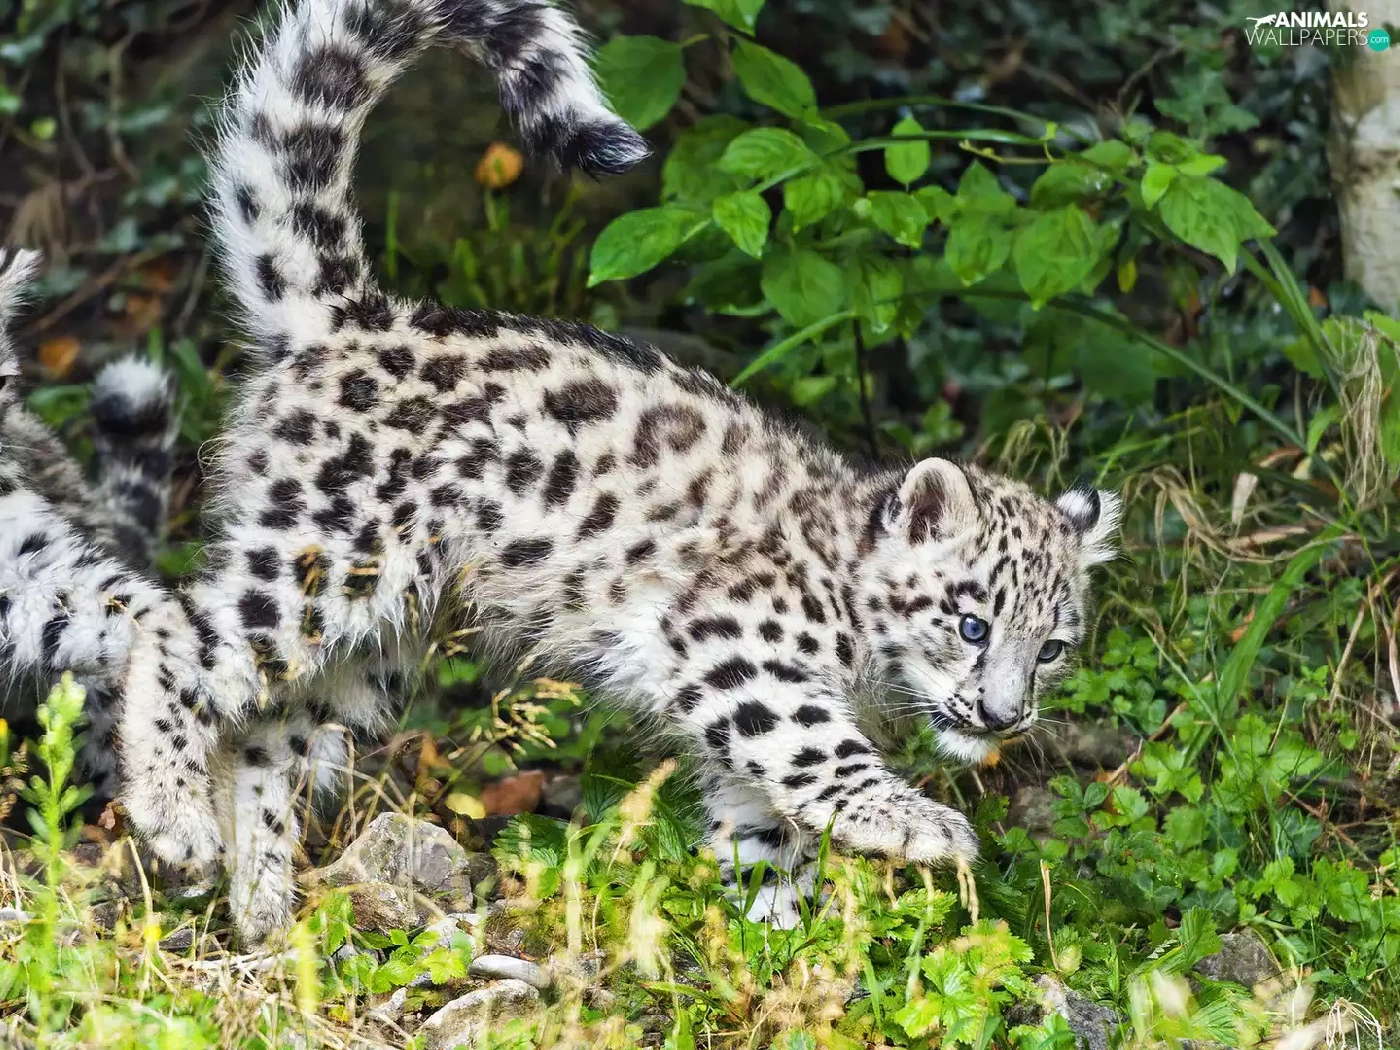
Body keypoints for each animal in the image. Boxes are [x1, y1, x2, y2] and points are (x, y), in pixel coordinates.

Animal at [112, 0, 1122, 944]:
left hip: (376, 645)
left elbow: (765, 831)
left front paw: (773, 949)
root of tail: (355, 317)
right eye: (970, 622)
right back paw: (174, 825)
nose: (1004, 715)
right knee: (167, 631)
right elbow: (814, 752)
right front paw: (919, 827)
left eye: (1053, 646)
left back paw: (262, 910)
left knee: (264, 732)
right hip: (326, 558)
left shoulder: (737, 723)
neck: (863, 659)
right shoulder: (738, 649)